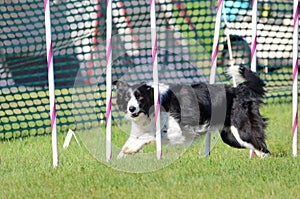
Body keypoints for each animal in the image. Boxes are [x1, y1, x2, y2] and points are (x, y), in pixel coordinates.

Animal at [113, 65, 272, 159]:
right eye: (127, 98)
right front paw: (120, 158)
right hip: (230, 137)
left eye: (140, 97)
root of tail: (238, 89)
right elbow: (130, 142)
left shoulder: (177, 131)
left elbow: (149, 135)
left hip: (241, 130)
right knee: (260, 146)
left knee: (260, 146)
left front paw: (131, 149)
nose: (131, 109)